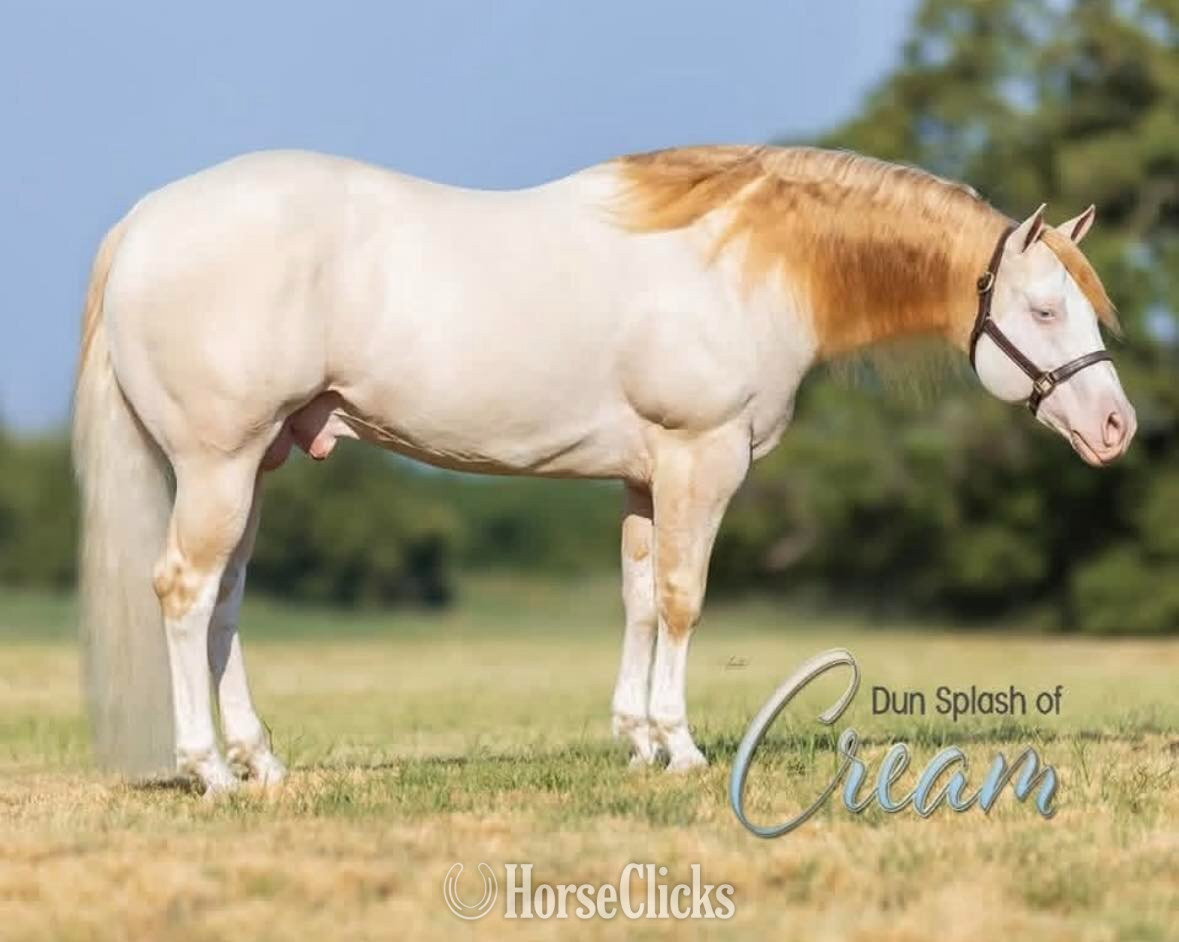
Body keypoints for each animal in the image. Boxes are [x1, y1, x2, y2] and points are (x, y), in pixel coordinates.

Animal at [72, 145, 1135, 793]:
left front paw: (633, 740)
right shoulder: (701, 457)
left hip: (258, 463)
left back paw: (259, 761)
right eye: (1044, 310)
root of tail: (146, 223)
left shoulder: (643, 476)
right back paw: (208, 769)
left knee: (226, 603)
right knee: (184, 593)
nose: (1116, 425)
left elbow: (636, 599)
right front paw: (682, 746)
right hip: (217, 464)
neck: (743, 266)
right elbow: (681, 600)